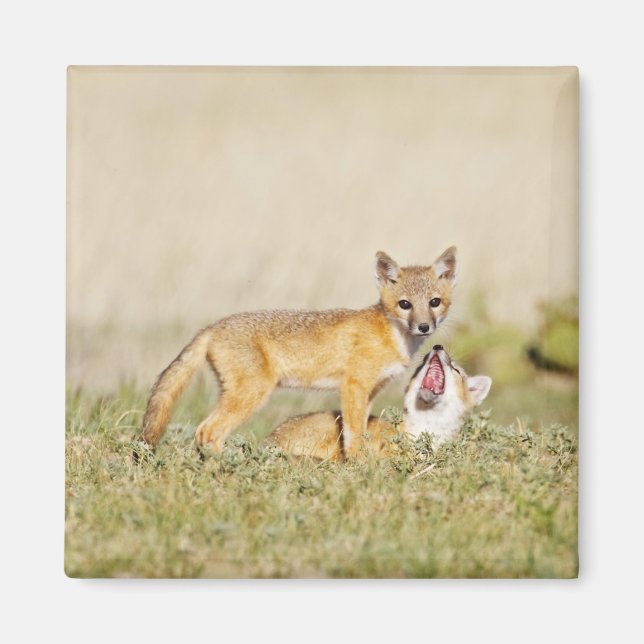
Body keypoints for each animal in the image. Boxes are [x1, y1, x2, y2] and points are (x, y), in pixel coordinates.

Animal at [141, 247, 457, 457]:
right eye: (405, 304)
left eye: (434, 302)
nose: (424, 327)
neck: (392, 336)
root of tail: (212, 327)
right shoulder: (353, 386)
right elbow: (354, 436)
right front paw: (358, 467)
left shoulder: (369, 392)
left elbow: (358, 432)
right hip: (252, 394)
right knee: (207, 432)